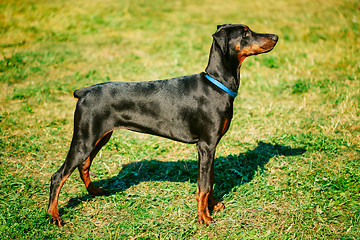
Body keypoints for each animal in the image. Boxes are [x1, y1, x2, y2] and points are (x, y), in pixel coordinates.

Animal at [47, 24, 278, 227]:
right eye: (245, 33)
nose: (275, 36)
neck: (217, 84)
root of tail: (85, 92)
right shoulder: (206, 145)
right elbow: (203, 185)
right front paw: (204, 217)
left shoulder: (212, 147)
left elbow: (210, 180)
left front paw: (212, 206)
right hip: (85, 138)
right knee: (58, 176)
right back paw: (54, 215)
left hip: (100, 137)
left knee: (84, 165)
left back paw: (95, 191)